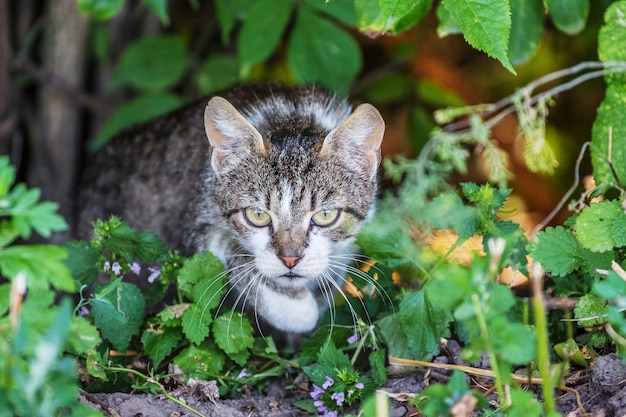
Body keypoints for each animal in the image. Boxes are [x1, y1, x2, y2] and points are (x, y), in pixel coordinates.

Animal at [75, 82, 382, 342]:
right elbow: (236, 259)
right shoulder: (199, 221)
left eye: (325, 216)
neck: (292, 119)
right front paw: (295, 309)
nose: (290, 259)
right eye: (257, 215)